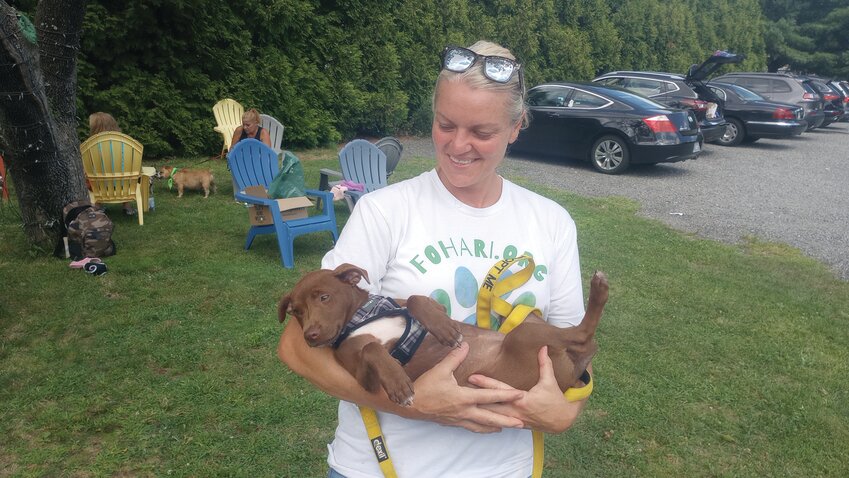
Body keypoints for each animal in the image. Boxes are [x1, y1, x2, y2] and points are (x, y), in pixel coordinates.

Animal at [276, 264, 604, 406]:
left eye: (324, 298)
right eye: (296, 312)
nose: (311, 336)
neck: (362, 315)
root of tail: (573, 372)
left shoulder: (422, 304)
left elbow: (417, 299)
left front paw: (445, 330)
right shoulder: (362, 379)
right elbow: (372, 349)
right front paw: (398, 383)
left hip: (528, 327)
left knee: (582, 336)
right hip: (526, 336)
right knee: (585, 338)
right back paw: (599, 291)